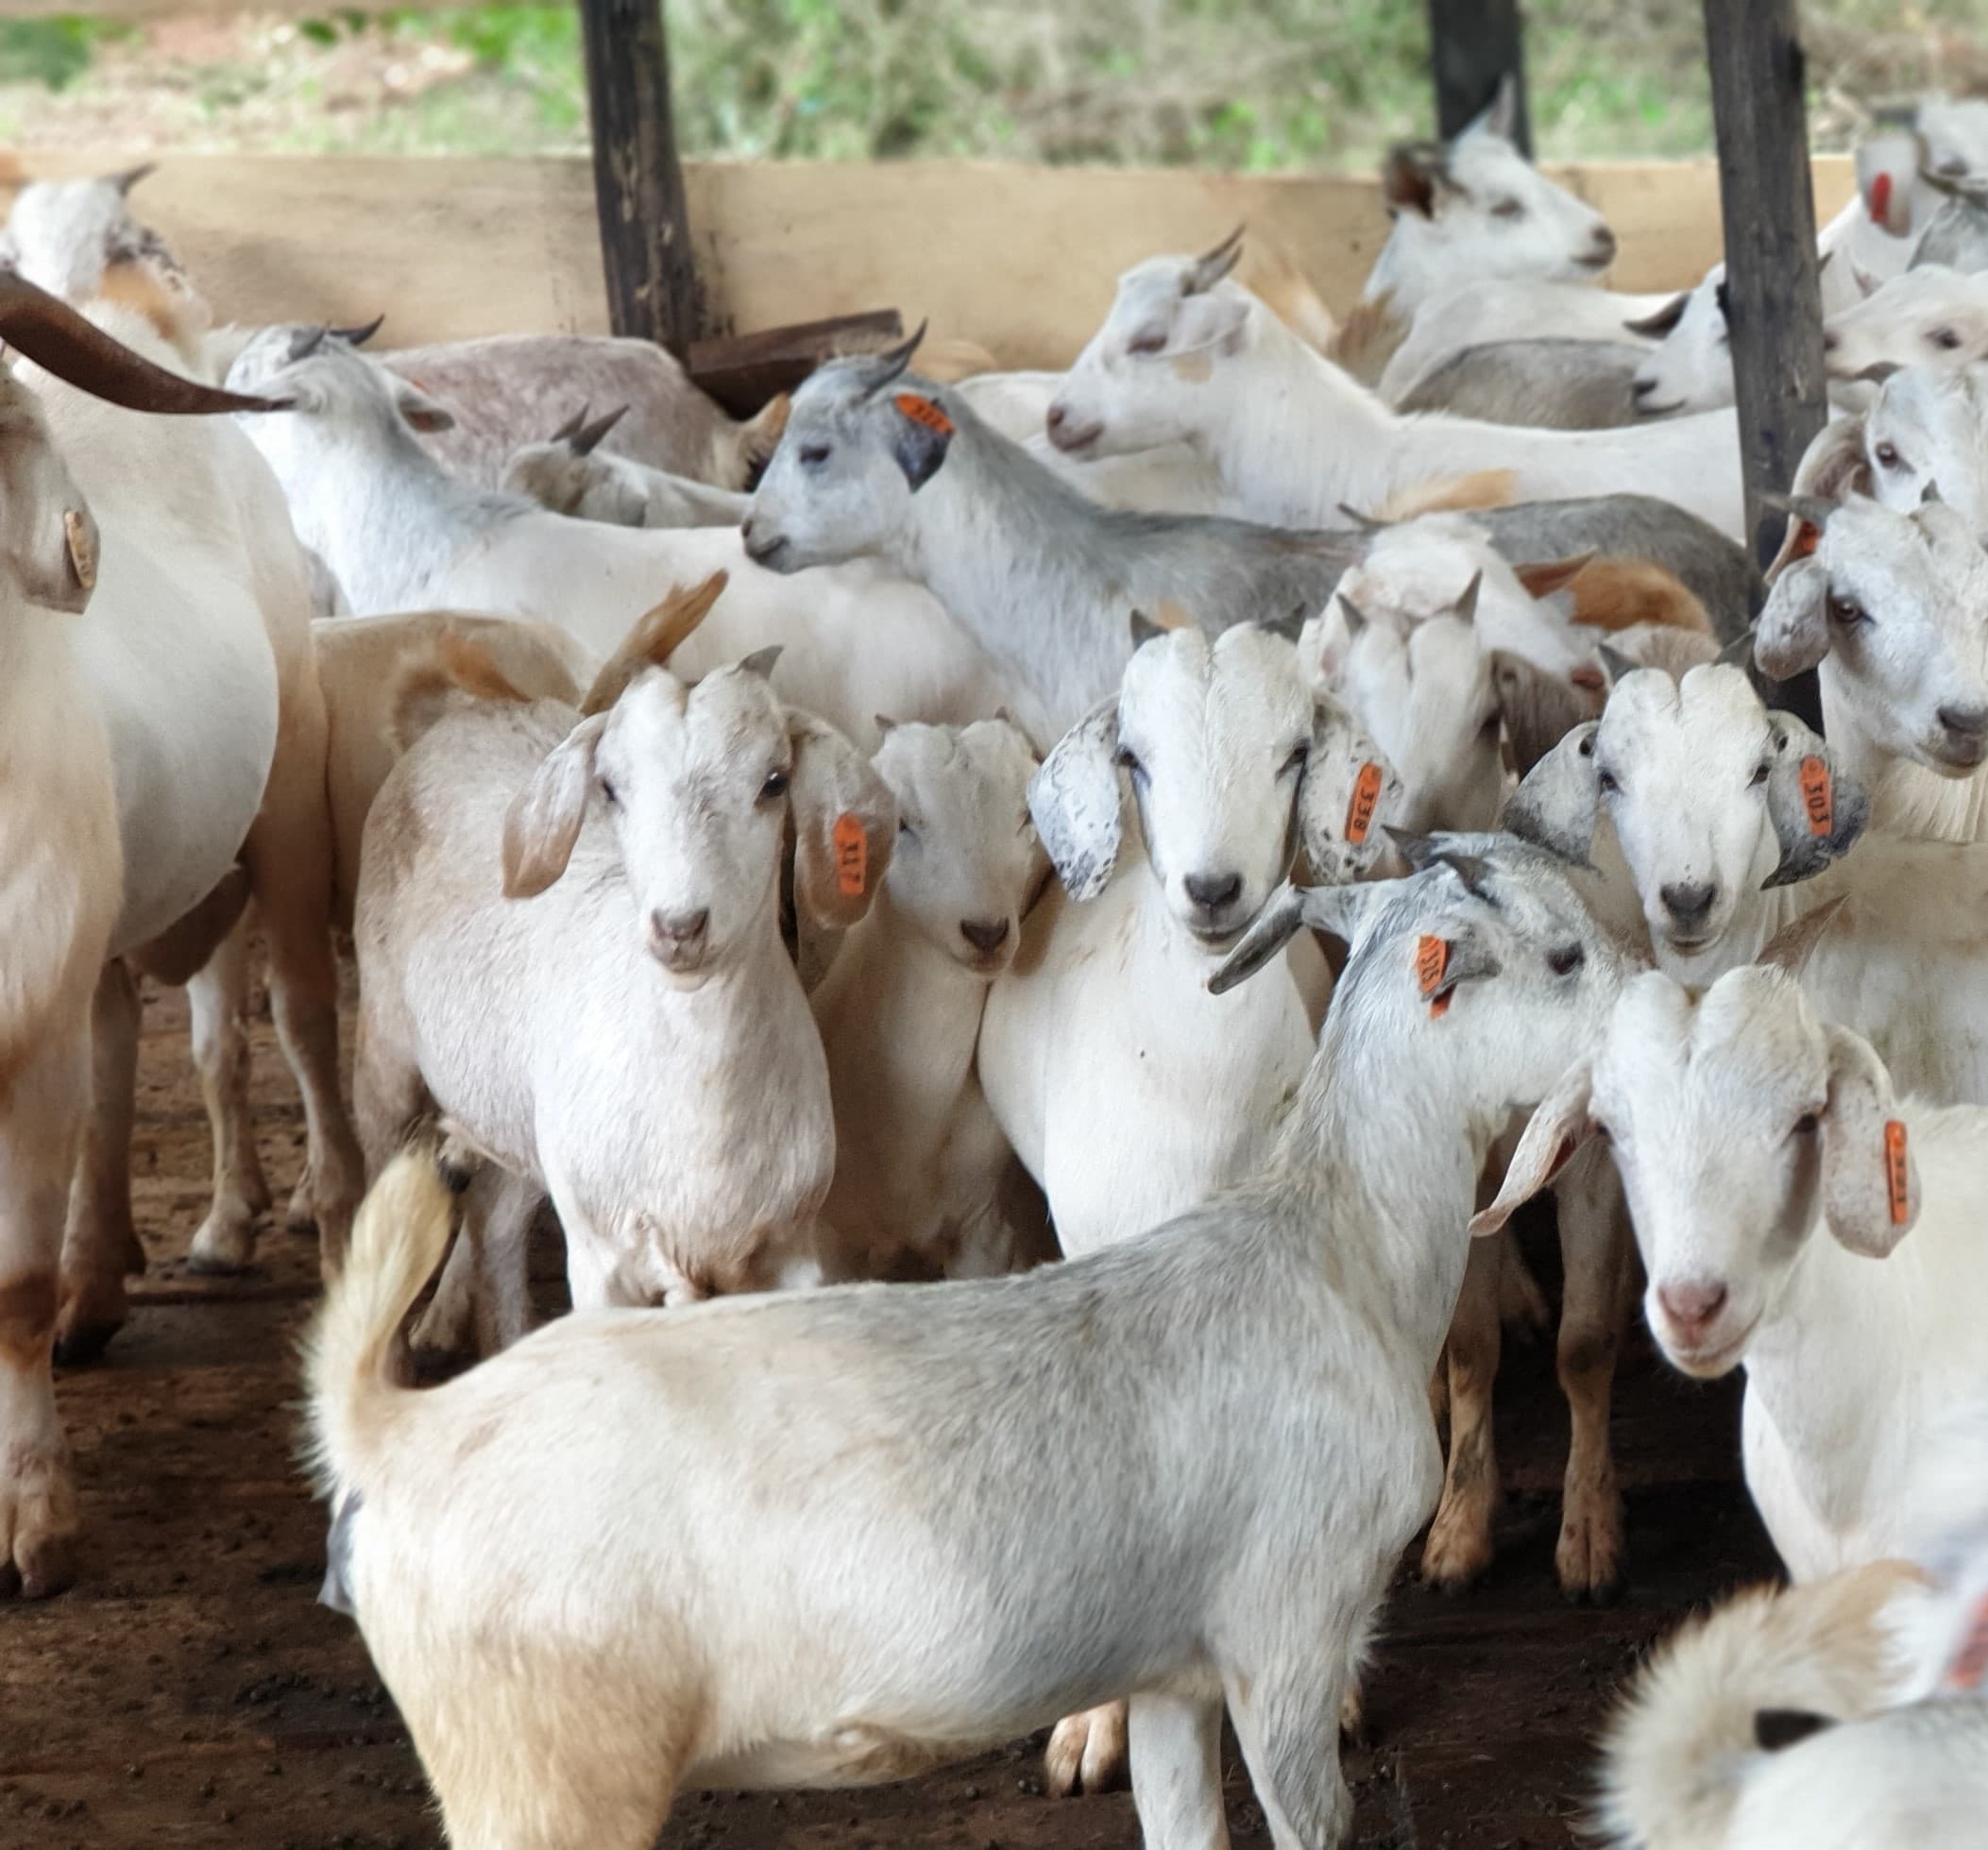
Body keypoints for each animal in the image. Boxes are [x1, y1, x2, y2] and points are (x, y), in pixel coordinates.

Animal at [306, 837, 1625, 1850]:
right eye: (1563, 957)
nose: (1650, 999)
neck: (1333, 1252)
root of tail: (395, 1432)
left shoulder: (1176, 1671)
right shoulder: (1289, 1640)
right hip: (542, 1773)